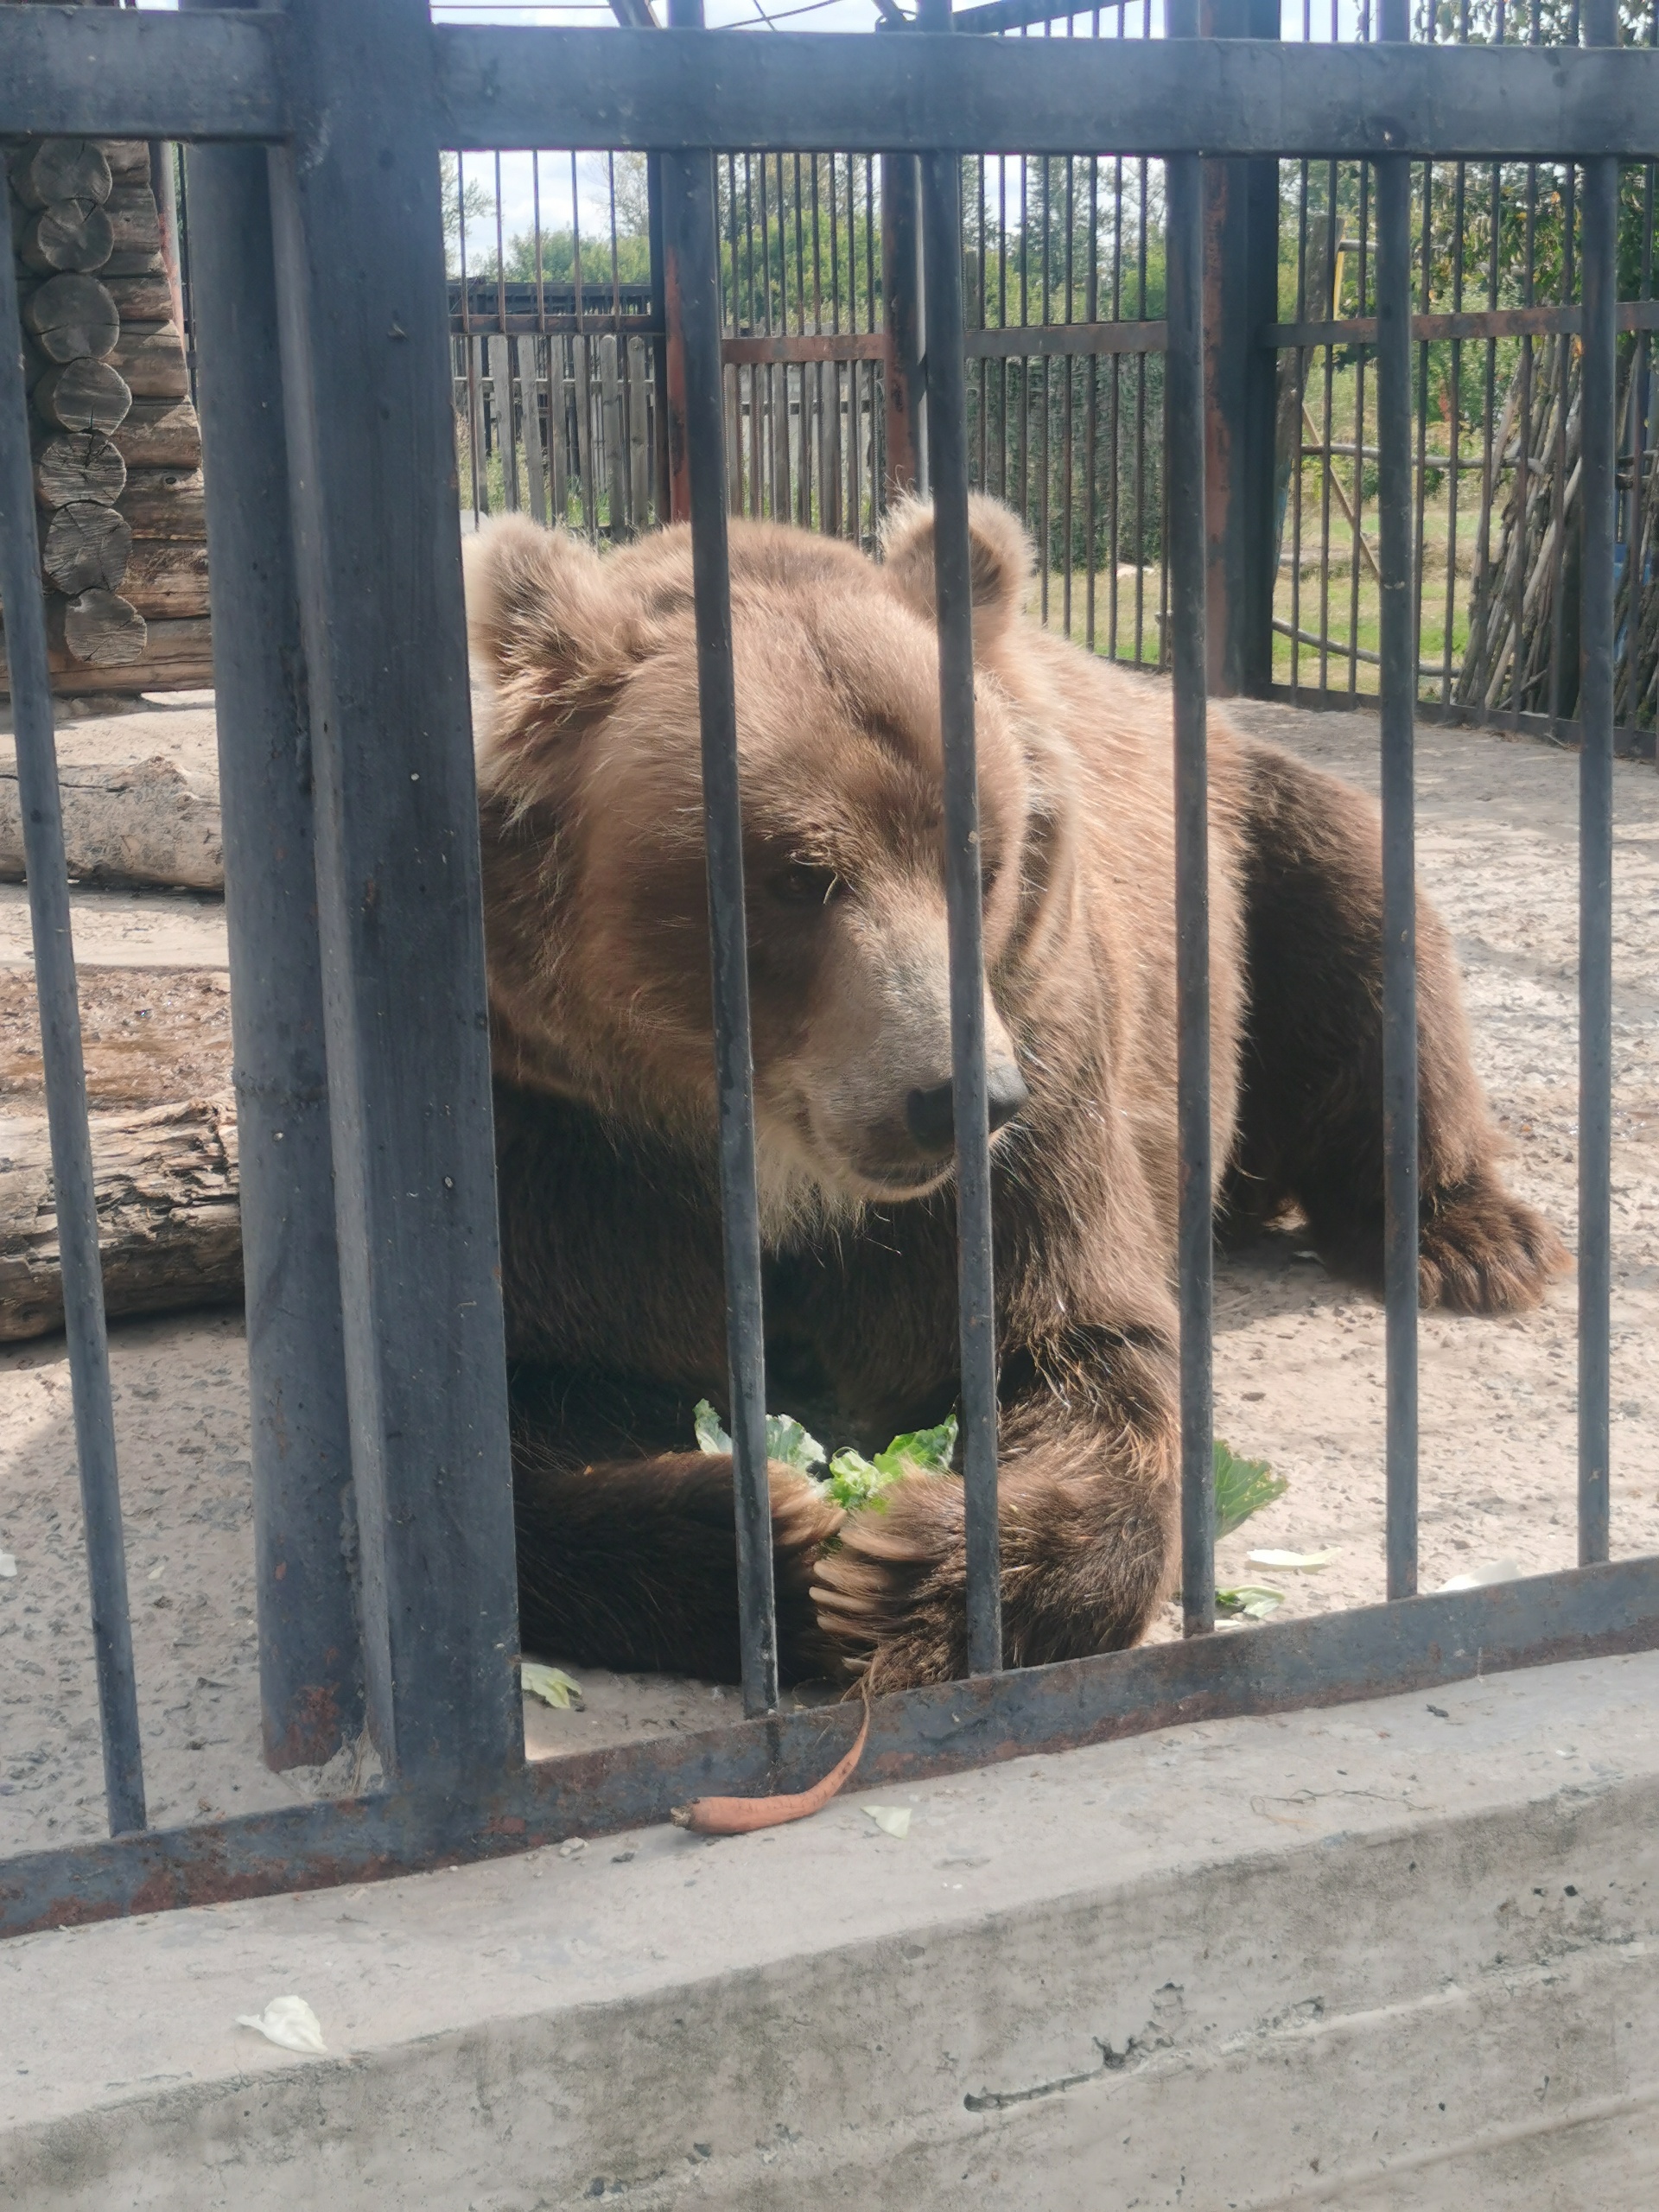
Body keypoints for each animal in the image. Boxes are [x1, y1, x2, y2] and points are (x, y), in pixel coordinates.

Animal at [468, 493, 1574, 1681]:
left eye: (982, 858)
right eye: (797, 875)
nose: (960, 1096)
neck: (788, 1168)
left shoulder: (1042, 1078)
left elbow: (1087, 1347)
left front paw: (910, 1570)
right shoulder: (575, 1146)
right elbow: (530, 1404)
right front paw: (781, 1534)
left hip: (1254, 851)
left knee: (1373, 931)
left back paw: (1469, 1239)